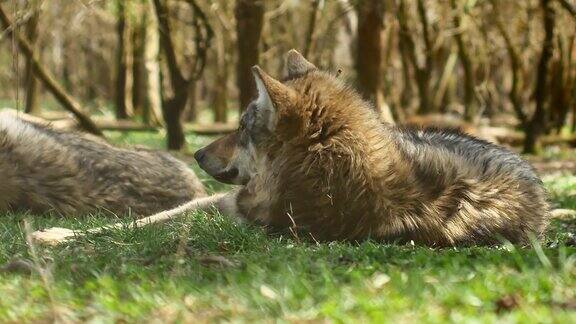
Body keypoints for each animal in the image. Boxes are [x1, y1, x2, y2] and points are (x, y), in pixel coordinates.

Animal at [31, 49, 548, 247]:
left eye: (242, 126)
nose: (195, 156)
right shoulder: (229, 201)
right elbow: (152, 217)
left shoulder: (247, 212)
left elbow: (142, 223)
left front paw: (54, 236)